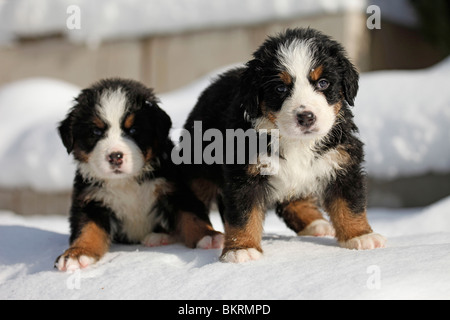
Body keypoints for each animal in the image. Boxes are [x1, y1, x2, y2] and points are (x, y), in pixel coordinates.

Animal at [56, 79, 223, 272]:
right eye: (96, 132)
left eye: (134, 130)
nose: (115, 156)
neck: (126, 182)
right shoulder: (91, 199)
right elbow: (87, 229)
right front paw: (77, 253)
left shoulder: (174, 188)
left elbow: (191, 214)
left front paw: (208, 236)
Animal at [183, 27, 386, 262]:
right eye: (280, 88)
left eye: (323, 83)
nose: (306, 117)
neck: (295, 141)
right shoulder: (244, 174)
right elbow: (242, 215)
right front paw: (241, 248)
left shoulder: (343, 161)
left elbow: (350, 203)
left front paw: (360, 235)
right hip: (197, 169)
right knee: (189, 204)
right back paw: (206, 236)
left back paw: (315, 223)